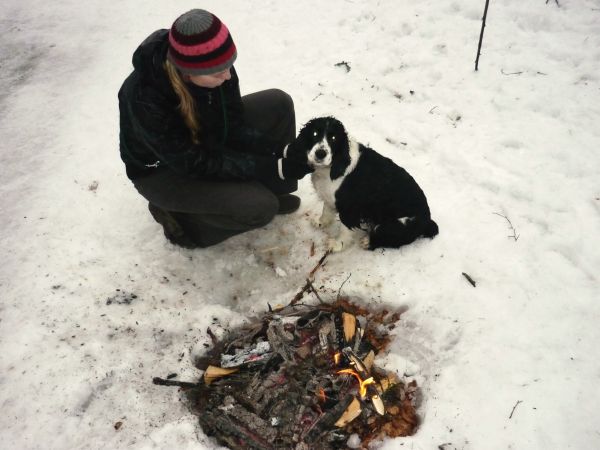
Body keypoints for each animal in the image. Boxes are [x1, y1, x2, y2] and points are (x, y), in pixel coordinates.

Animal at [288, 116, 438, 251]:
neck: (332, 167)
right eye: (314, 134)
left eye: (334, 138)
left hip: (391, 225)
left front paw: (337, 245)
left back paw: (368, 242)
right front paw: (321, 222)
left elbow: (345, 228)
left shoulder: (349, 207)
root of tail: (427, 221)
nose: (320, 153)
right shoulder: (330, 197)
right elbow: (327, 211)